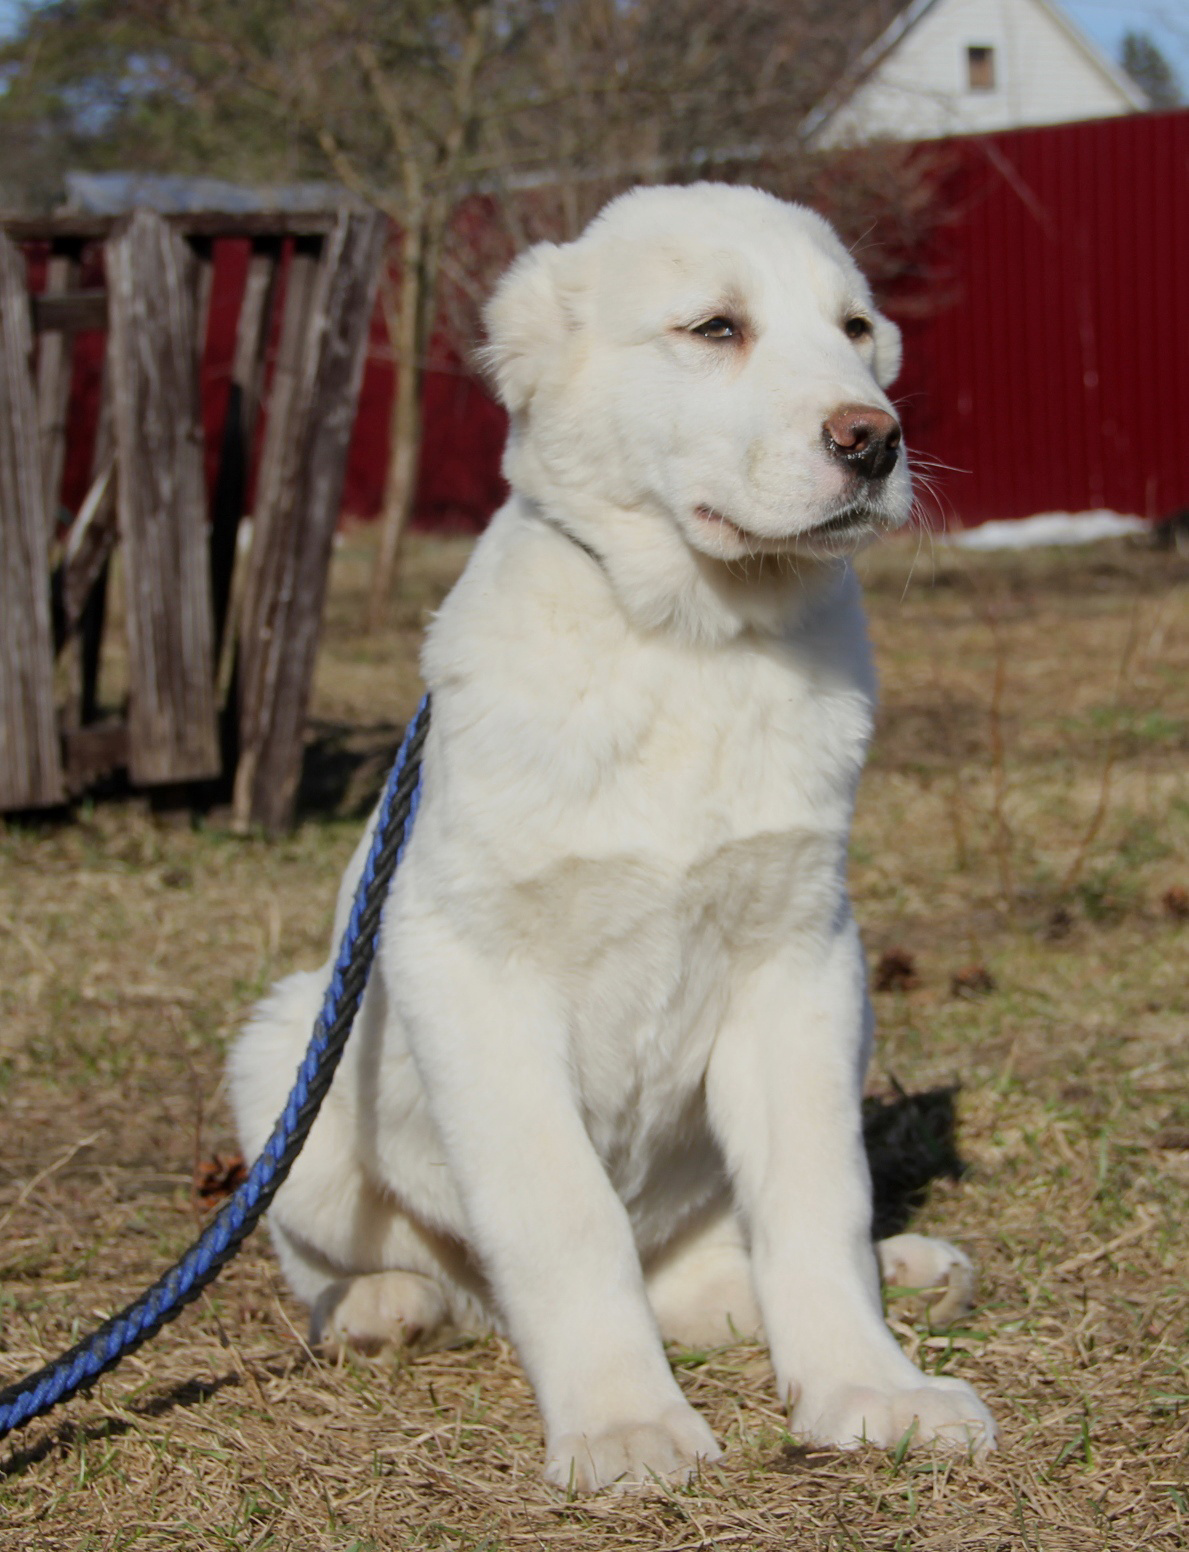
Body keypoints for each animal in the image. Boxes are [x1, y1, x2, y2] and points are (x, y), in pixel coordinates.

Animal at [232, 181, 993, 1489]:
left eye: (854, 329)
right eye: (715, 328)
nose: (874, 438)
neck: (690, 642)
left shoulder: (803, 962)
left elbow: (817, 1200)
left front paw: (869, 1386)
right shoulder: (467, 967)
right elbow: (562, 1212)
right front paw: (622, 1418)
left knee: (710, 1269)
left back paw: (902, 1273)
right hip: (288, 1052)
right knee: (393, 1269)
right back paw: (379, 1304)